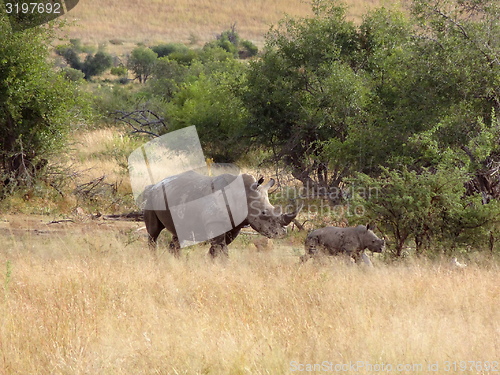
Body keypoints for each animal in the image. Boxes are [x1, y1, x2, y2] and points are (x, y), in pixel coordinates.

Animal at [143, 171, 302, 258]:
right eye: (263, 213)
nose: (282, 233)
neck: (243, 194)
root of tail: (155, 185)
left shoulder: (235, 226)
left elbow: (218, 248)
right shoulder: (215, 222)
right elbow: (221, 249)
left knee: (178, 234)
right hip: (150, 197)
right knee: (153, 233)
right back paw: (154, 258)